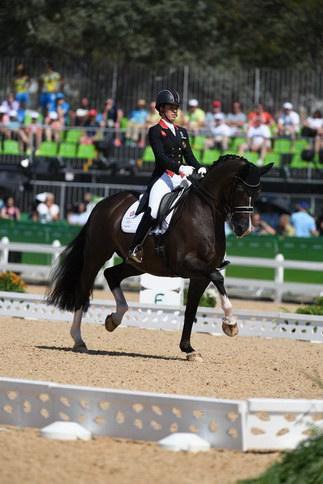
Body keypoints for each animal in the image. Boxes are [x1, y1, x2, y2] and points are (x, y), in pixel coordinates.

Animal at [46, 155, 274, 360]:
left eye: (259, 192)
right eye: (241, 190)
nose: (244, 229)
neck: (204, 212)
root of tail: (104, 203)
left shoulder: (200, 275)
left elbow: (191, 310)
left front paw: (189, 349)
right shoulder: (187, 263)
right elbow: (218, 278)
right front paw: (230, 324)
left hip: (138, 264)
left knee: (111, 274)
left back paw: (114, 319)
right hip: (96, 253)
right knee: (84, 289)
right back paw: (79, 340)